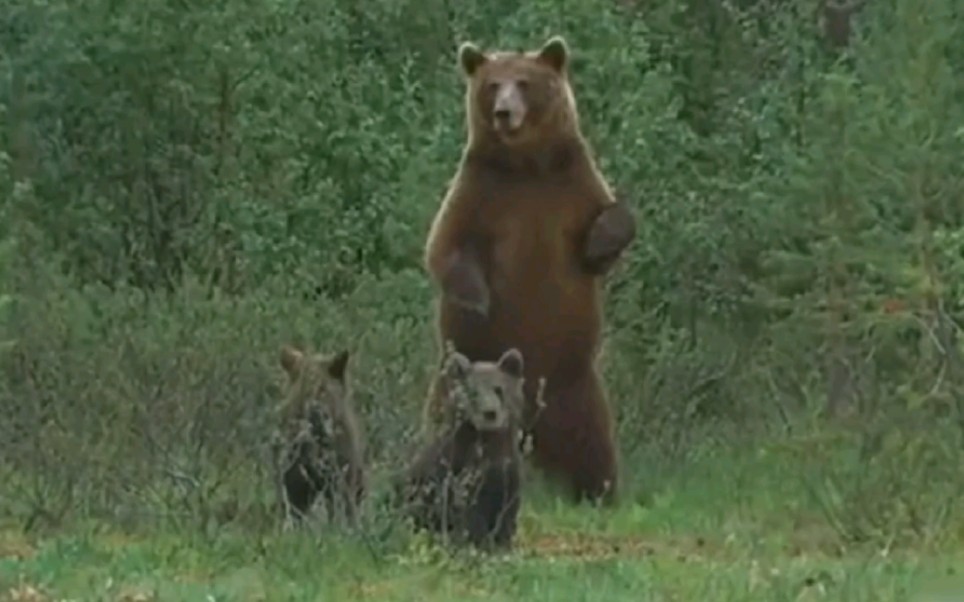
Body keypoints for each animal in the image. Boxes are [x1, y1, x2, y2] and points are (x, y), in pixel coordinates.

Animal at [424, 36, 636, 506]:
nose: (505, 111)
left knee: (593, 446)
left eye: (523, 82)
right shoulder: (481, 190)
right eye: (493, 84)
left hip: (575, 391)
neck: (527, 165)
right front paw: (479, 300)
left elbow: (611, 222)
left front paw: (601, 240)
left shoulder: (572, 180)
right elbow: (445, 246)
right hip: (453, 391)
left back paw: (599, 491)